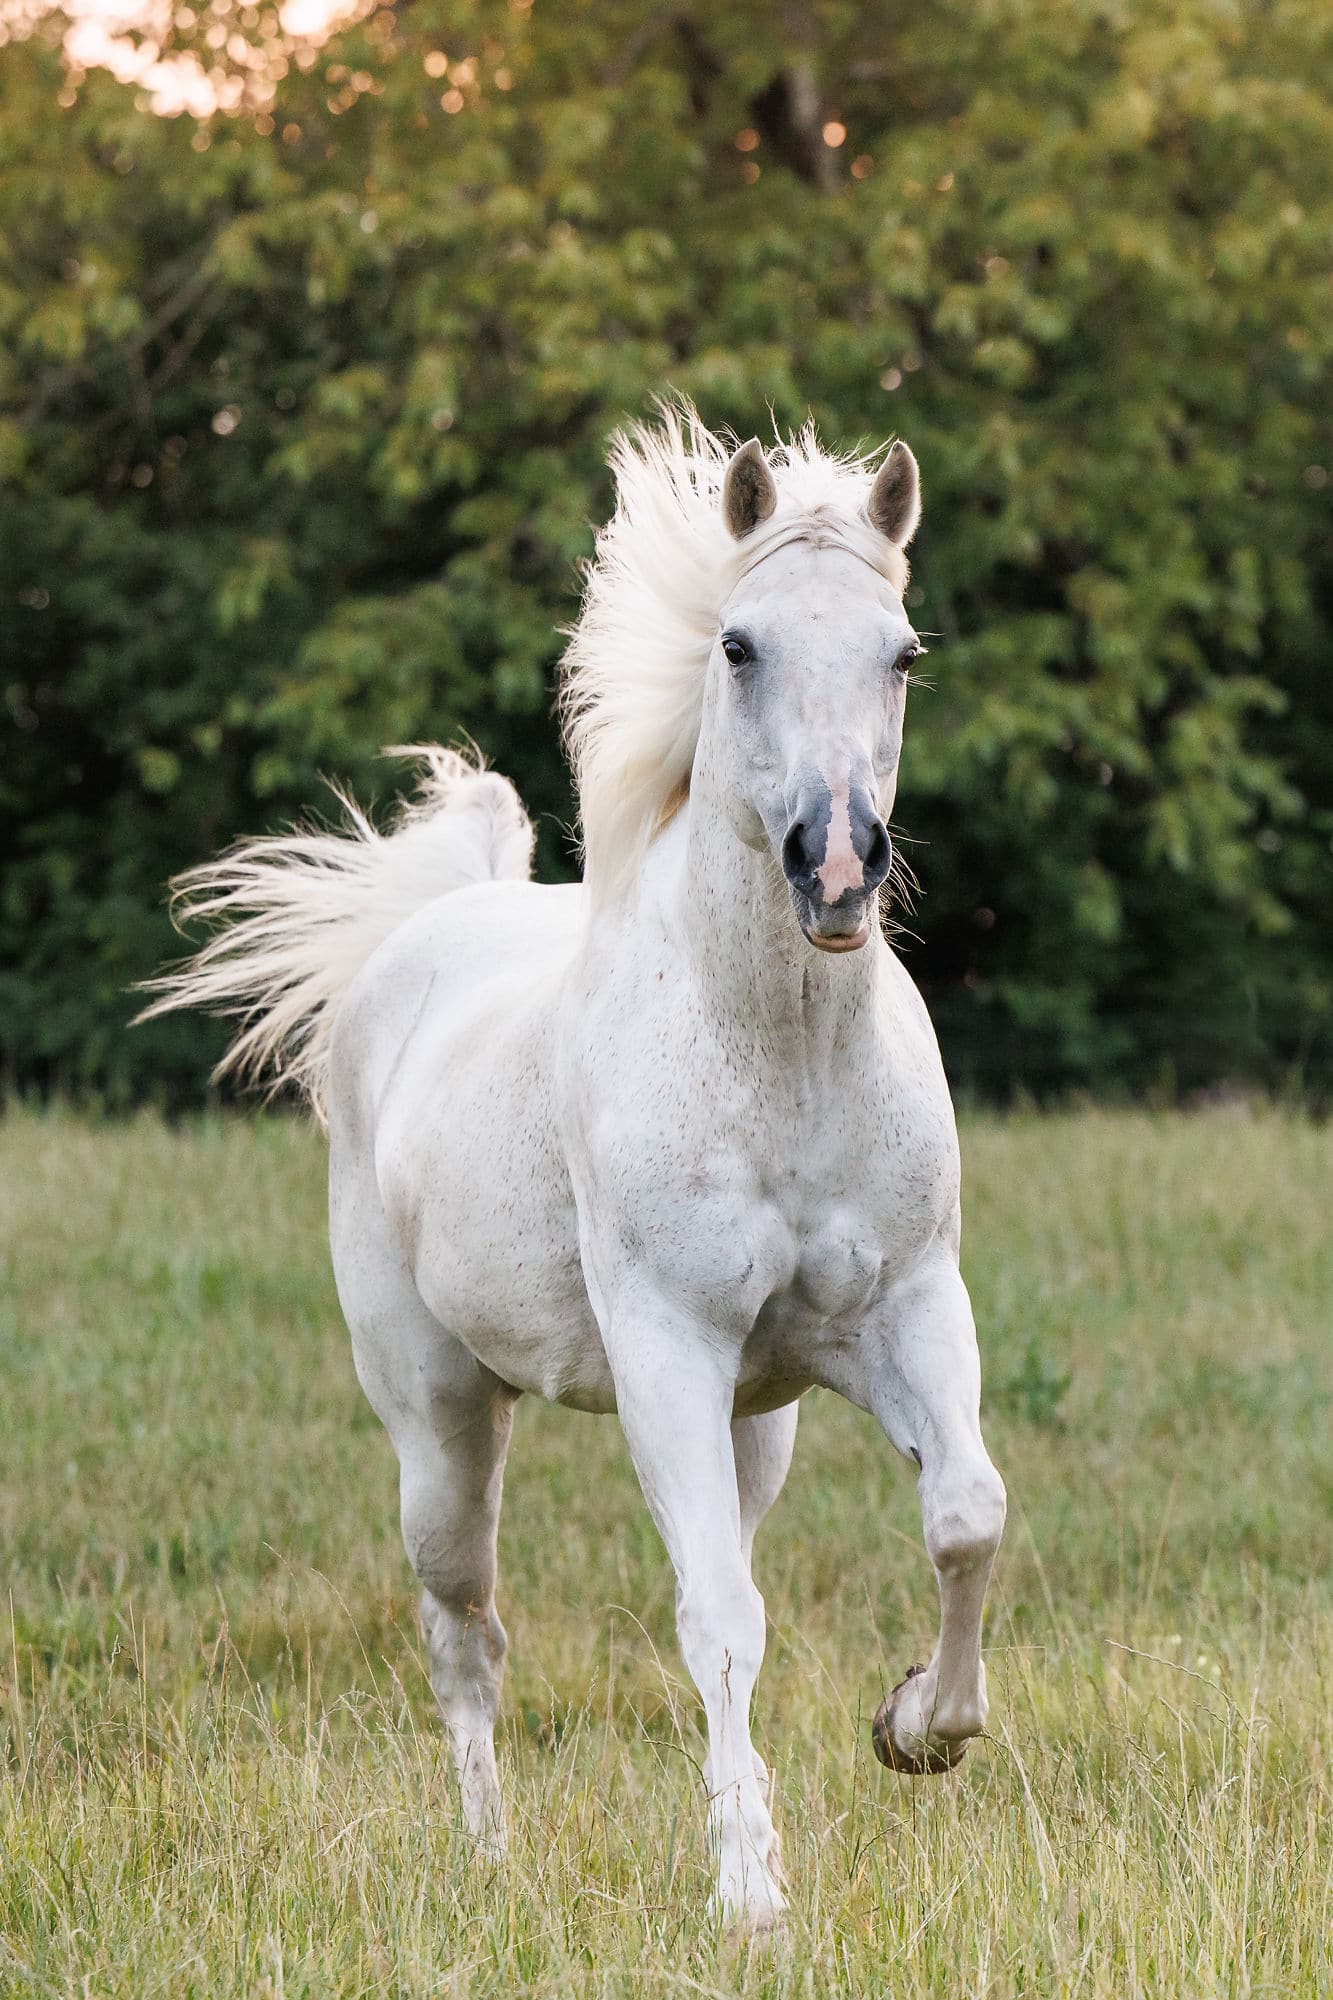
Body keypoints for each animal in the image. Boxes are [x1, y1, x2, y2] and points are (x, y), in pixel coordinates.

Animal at [143, 402, 996, 1920]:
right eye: (738, 645)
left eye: (901, 652)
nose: (835, 866)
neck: (777, 1054)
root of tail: (423, 935)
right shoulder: (666, 1345)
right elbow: (717, 1619)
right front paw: (750, 1900)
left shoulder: (905, 1311)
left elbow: (961, 1516)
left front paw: (914, 1726)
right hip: (438, 1419)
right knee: (464, 1633)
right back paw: (489, 1860)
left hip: (756, 1423)